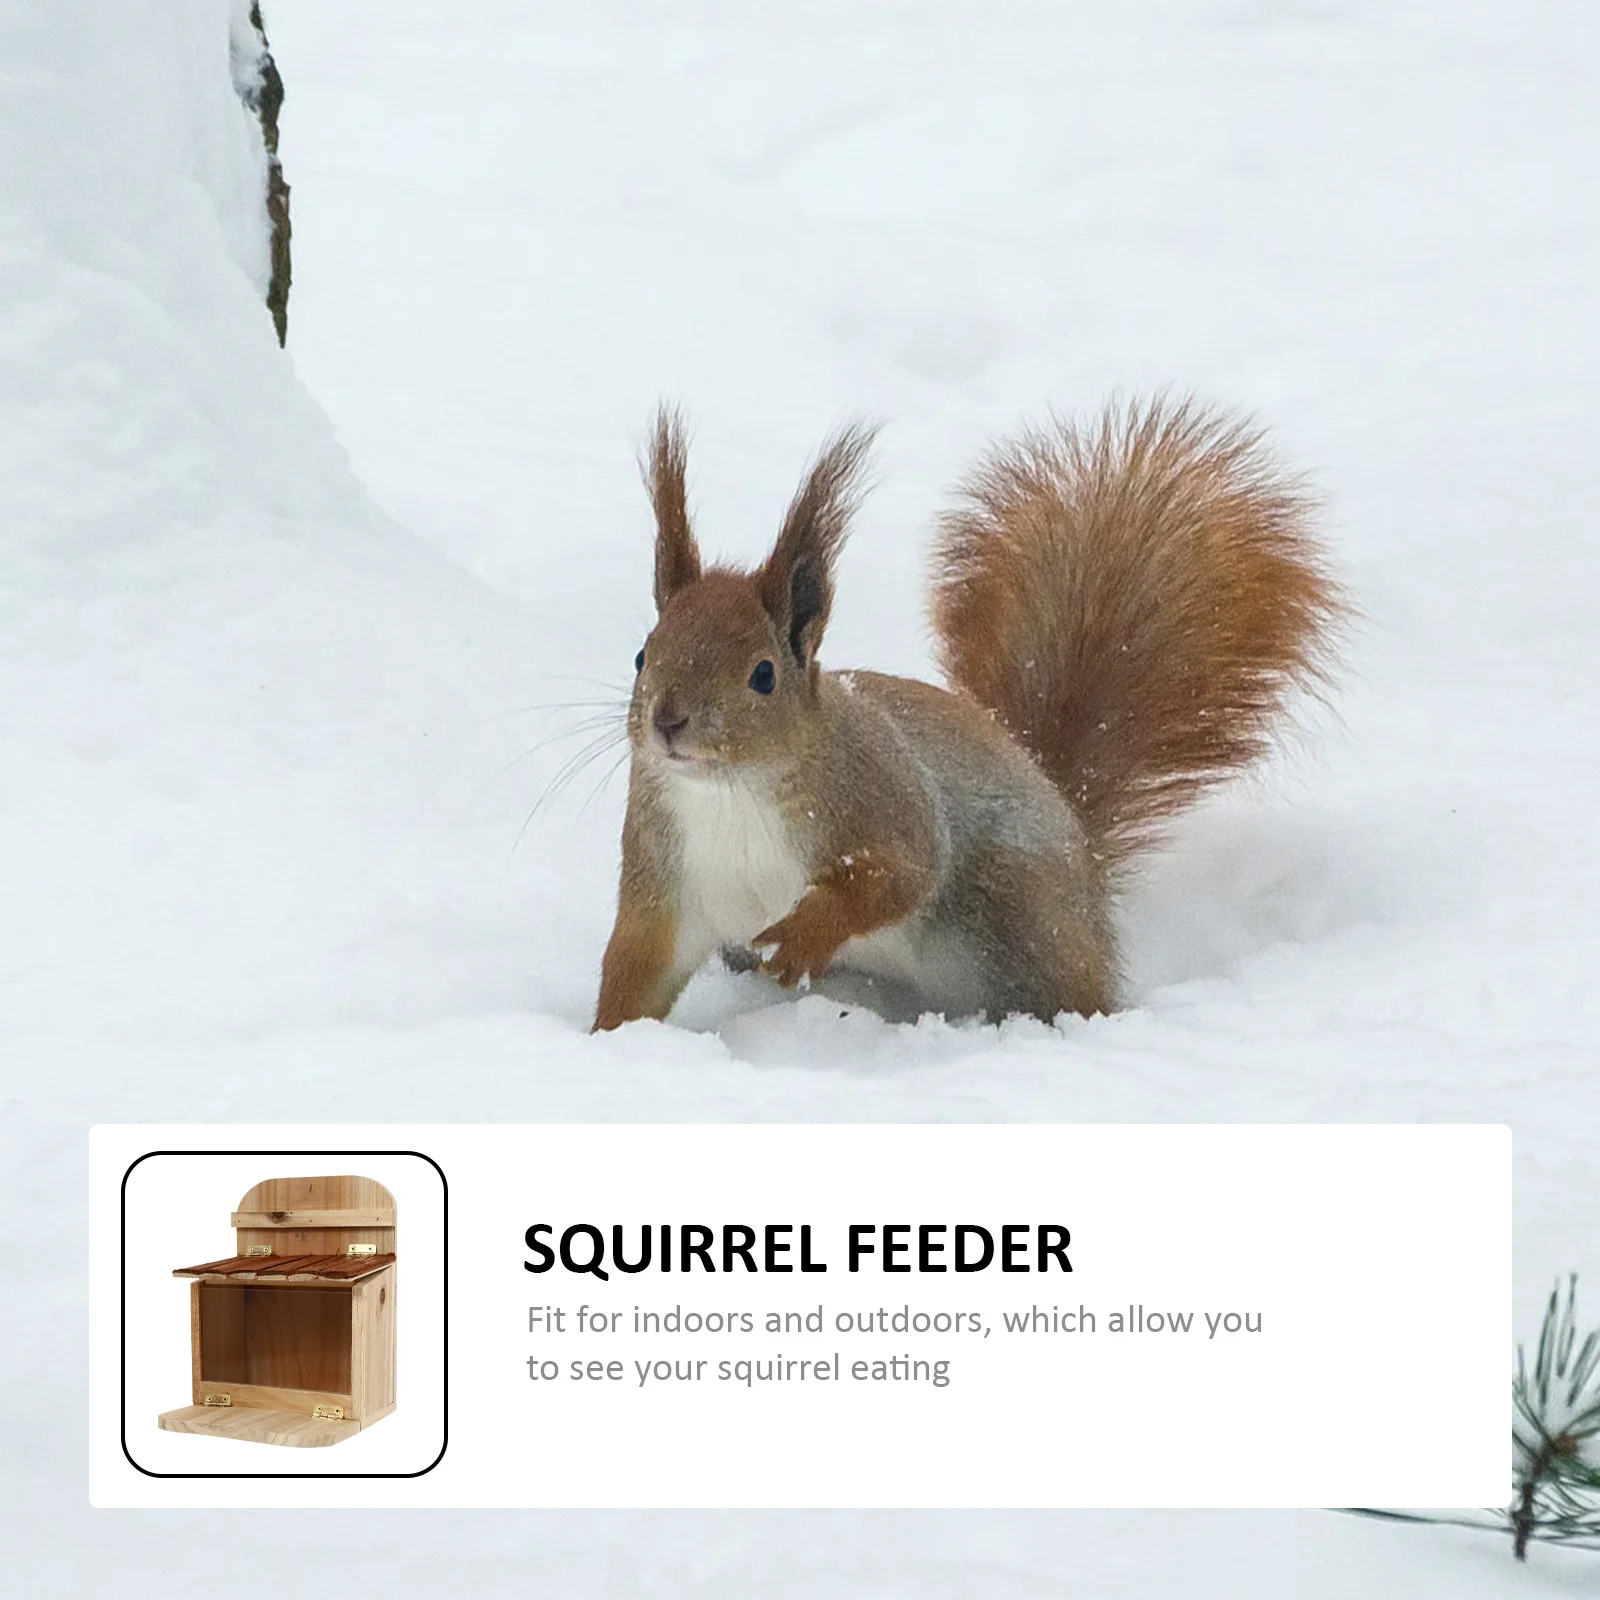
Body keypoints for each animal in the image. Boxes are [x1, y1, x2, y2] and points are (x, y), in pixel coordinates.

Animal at [592, 397, 1343, 1032]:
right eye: (641, 655)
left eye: (763, 675)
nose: (668, 722)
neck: (729, 791)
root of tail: (1087, 872)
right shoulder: (664, 874)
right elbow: (638, 964)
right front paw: (607, 1042)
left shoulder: (881, 797)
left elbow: (901, 873)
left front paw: (805, 935)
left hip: (1016, 913)